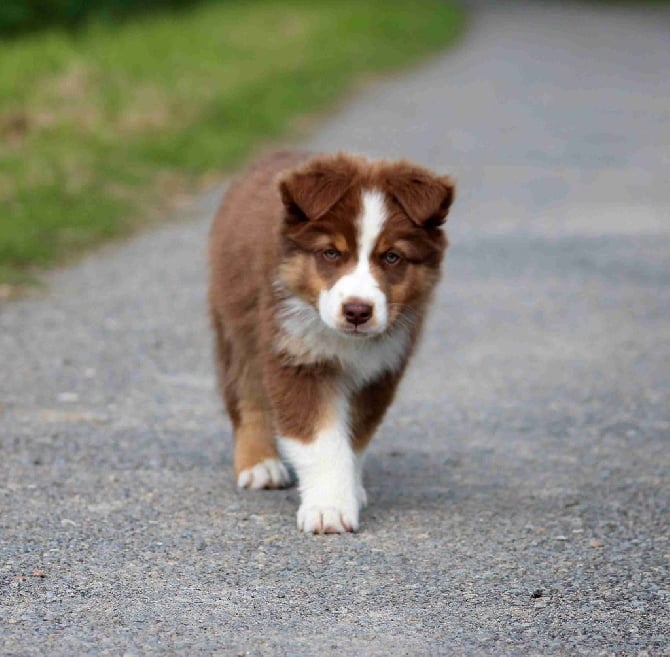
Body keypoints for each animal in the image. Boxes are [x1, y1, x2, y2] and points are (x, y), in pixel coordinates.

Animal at [207, 150, 454, 532]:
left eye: (392, 257)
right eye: (331, 253)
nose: (357, 311)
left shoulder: (381, 368)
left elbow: (354, 437)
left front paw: (349, 491)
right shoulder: (295, 355)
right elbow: (321, 442)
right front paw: (329, 510)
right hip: (237, 322)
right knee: (246, 395)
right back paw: (259, 465)